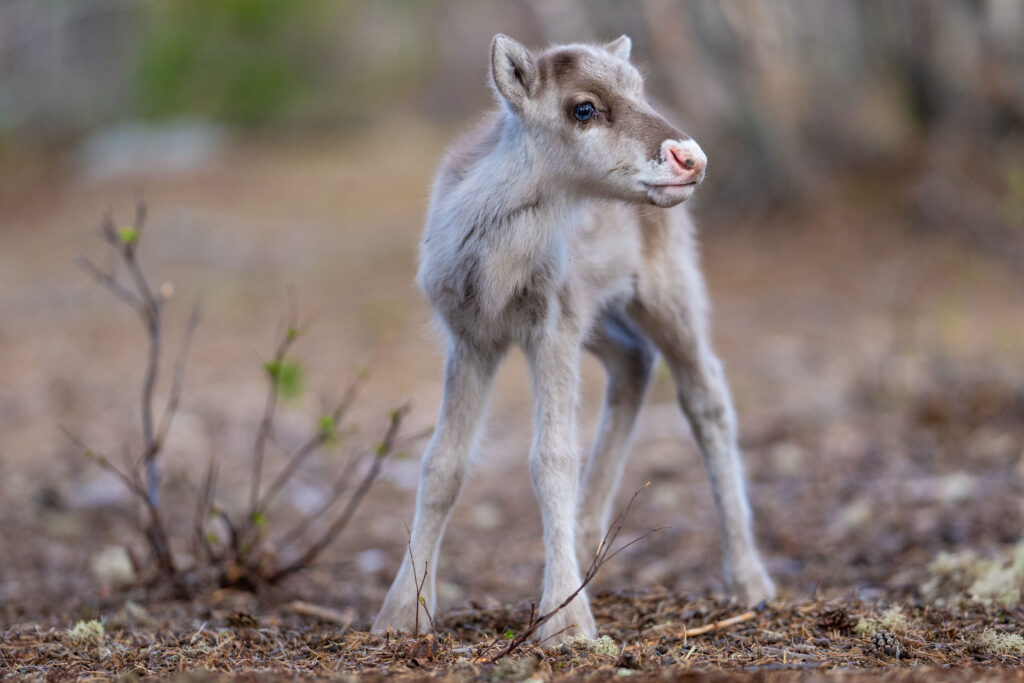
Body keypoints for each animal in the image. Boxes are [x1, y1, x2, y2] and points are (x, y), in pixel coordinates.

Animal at [372, 33, 770, 643]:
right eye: (584, 108)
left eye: (639, 89)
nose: (690, 158)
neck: (498, 268)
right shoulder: (471, 335)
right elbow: (442, 465)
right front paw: (402, 615)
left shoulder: (553, 324)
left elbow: (552, 460)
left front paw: (565, 622)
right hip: (599, 315)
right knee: (635, 362)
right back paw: (586, 545)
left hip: (665, 285)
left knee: (706, 393)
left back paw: (748, 579)